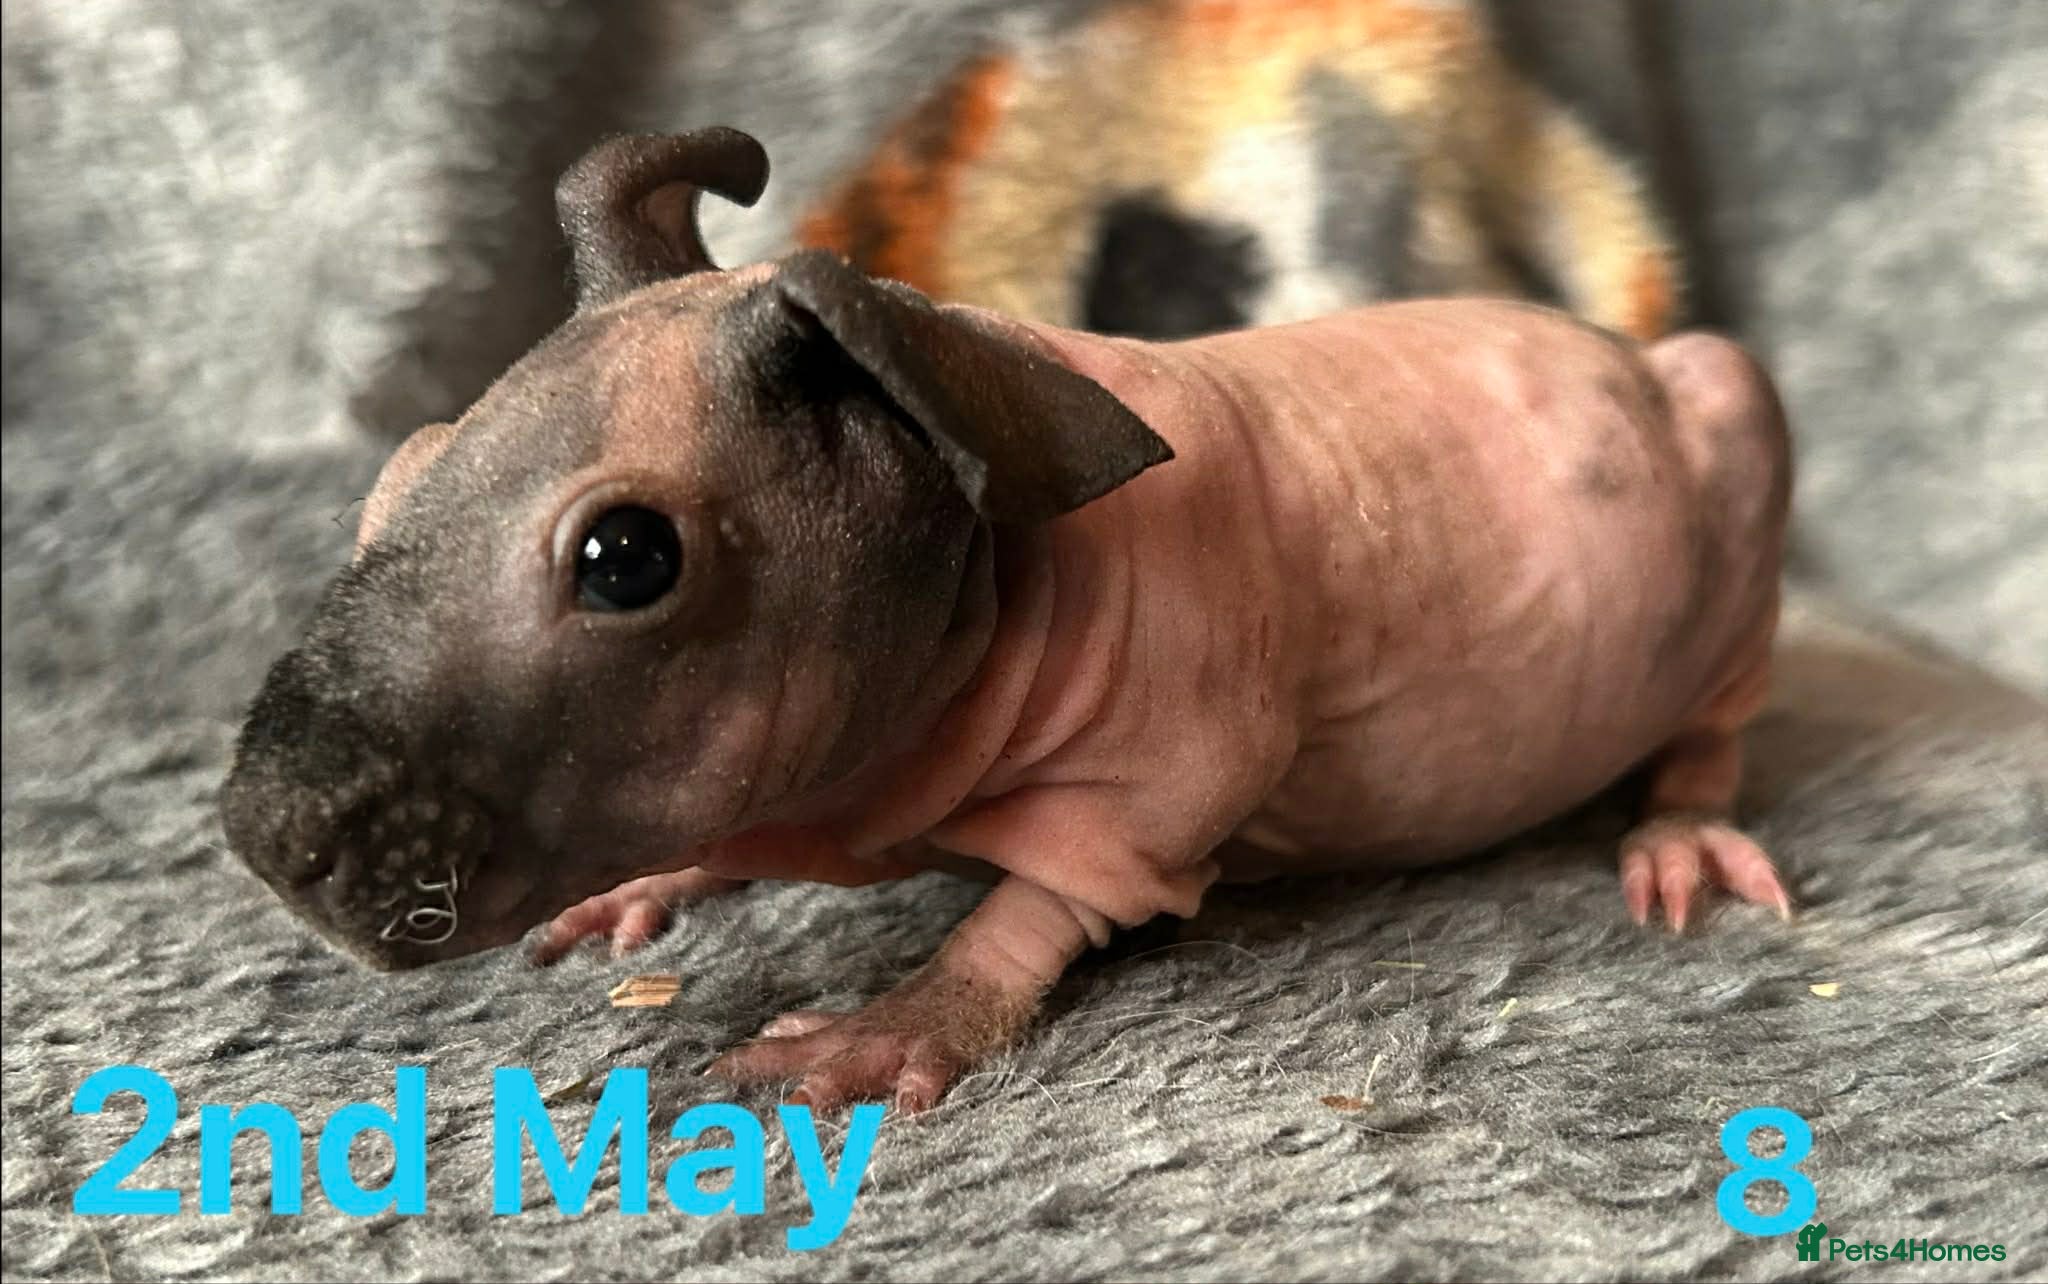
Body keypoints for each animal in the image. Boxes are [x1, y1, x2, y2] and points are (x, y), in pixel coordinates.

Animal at [221, 127, 1793, 1111]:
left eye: (623, 558)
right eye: (396, 478)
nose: (266, 840)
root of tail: (1628, 354)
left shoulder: (1170, 744)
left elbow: (1074, 882)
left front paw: (891, 1024)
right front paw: (649, 883)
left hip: (1736, 499)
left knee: (1717, 716)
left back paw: (1681, 833)